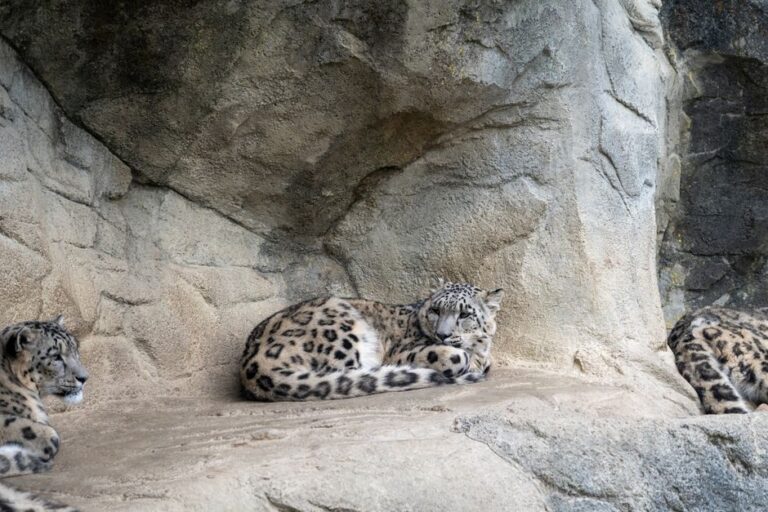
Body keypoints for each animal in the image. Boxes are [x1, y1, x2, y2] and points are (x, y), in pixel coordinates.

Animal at [240, 280, 504, 401]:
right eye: (435, 310)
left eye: (465, 314)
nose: (442, 334)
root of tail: (251, 362)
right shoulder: (402, 352)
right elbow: (456, 357)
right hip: (343, 328)